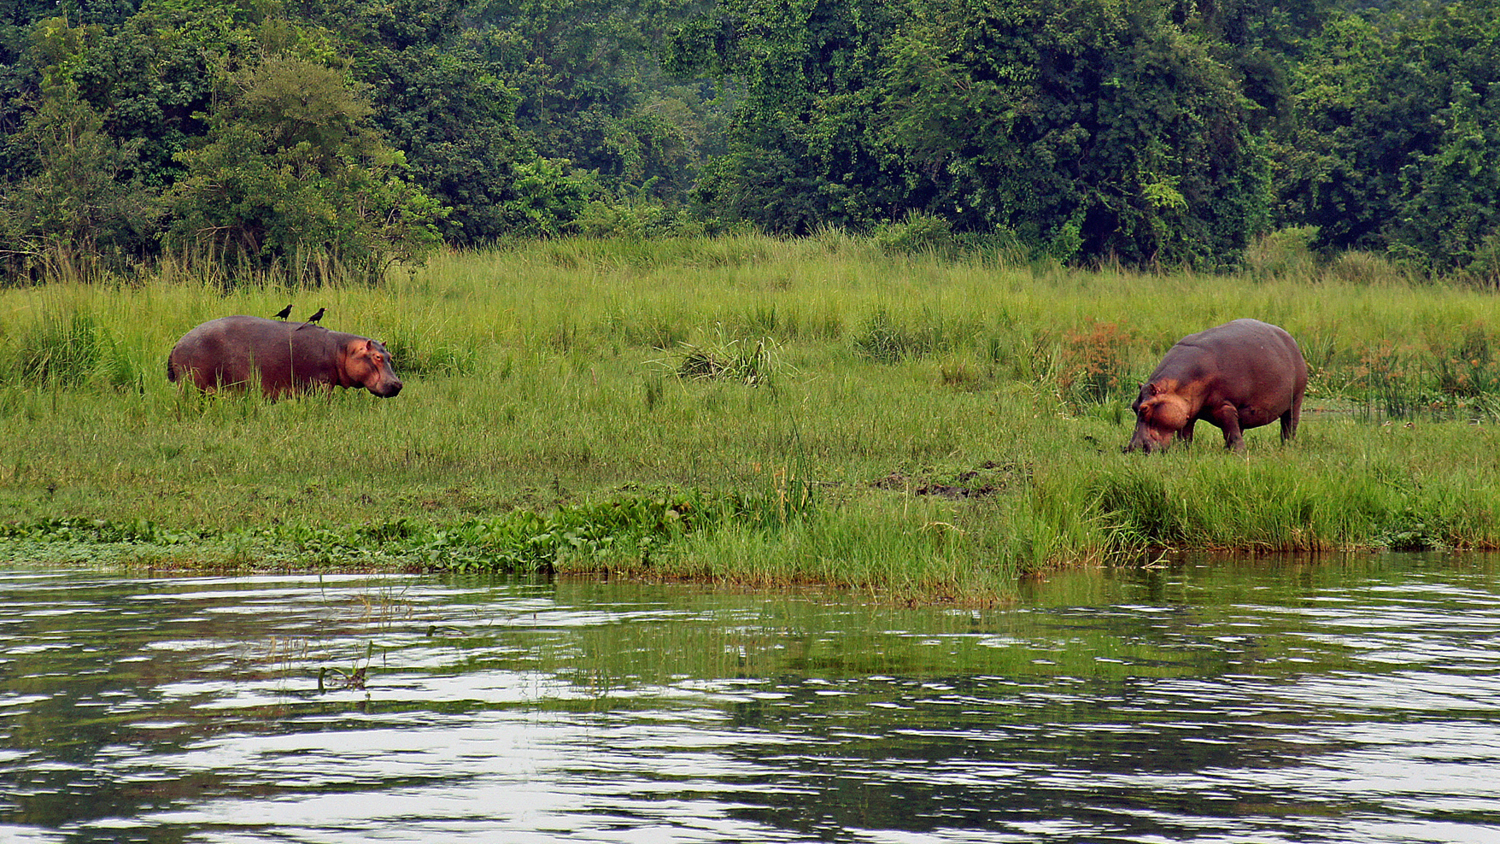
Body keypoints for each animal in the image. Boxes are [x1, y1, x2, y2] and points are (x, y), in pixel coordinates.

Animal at [166, 317, 402, 398]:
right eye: (376, 357)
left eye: (389, 355)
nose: (398, 384)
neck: (341, 349)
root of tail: (178, 343)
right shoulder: (321, 384)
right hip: (190, 383)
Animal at [1128, 320, 1302, 455]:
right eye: (1133, 406)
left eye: (1144, 408)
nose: (1131, 449)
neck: (1176, 388)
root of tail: (1290, 338)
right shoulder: (1189, 412)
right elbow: (1185, 435)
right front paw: (1183, 451)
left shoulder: (1225, 407)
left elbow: (1232, 432)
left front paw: (1239, 454)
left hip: (1295, 400)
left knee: (1289, 426)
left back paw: (1287, 447)